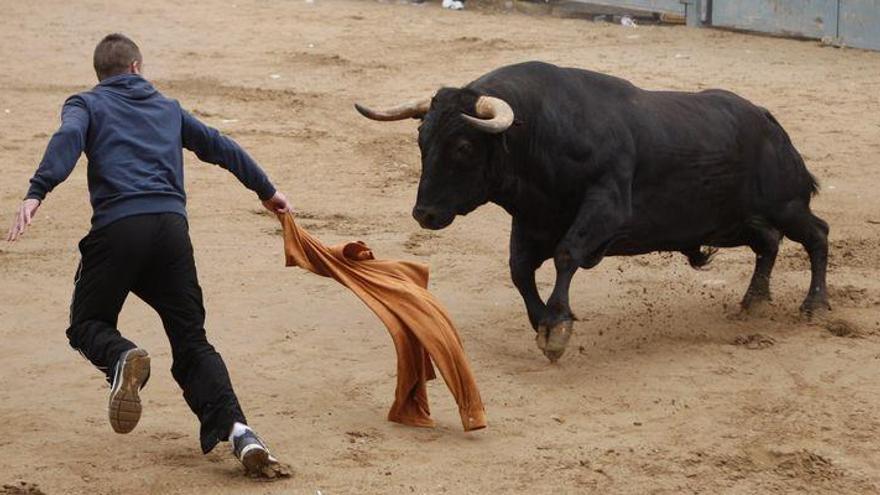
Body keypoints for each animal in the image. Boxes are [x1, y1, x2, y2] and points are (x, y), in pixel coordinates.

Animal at [354, 63, 828, 364]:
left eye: (465, 146)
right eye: (422, 140)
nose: (425, 214)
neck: (541, 132)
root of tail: (769, 122)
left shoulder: (606, 207)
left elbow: (567, 255)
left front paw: (557, 328)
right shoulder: (531, 220)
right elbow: (519, 270)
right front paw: (542, 321)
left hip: (785, 205)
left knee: (816, 234)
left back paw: (815, 306)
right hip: (728, 223)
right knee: (768, 241)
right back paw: (754, 301)